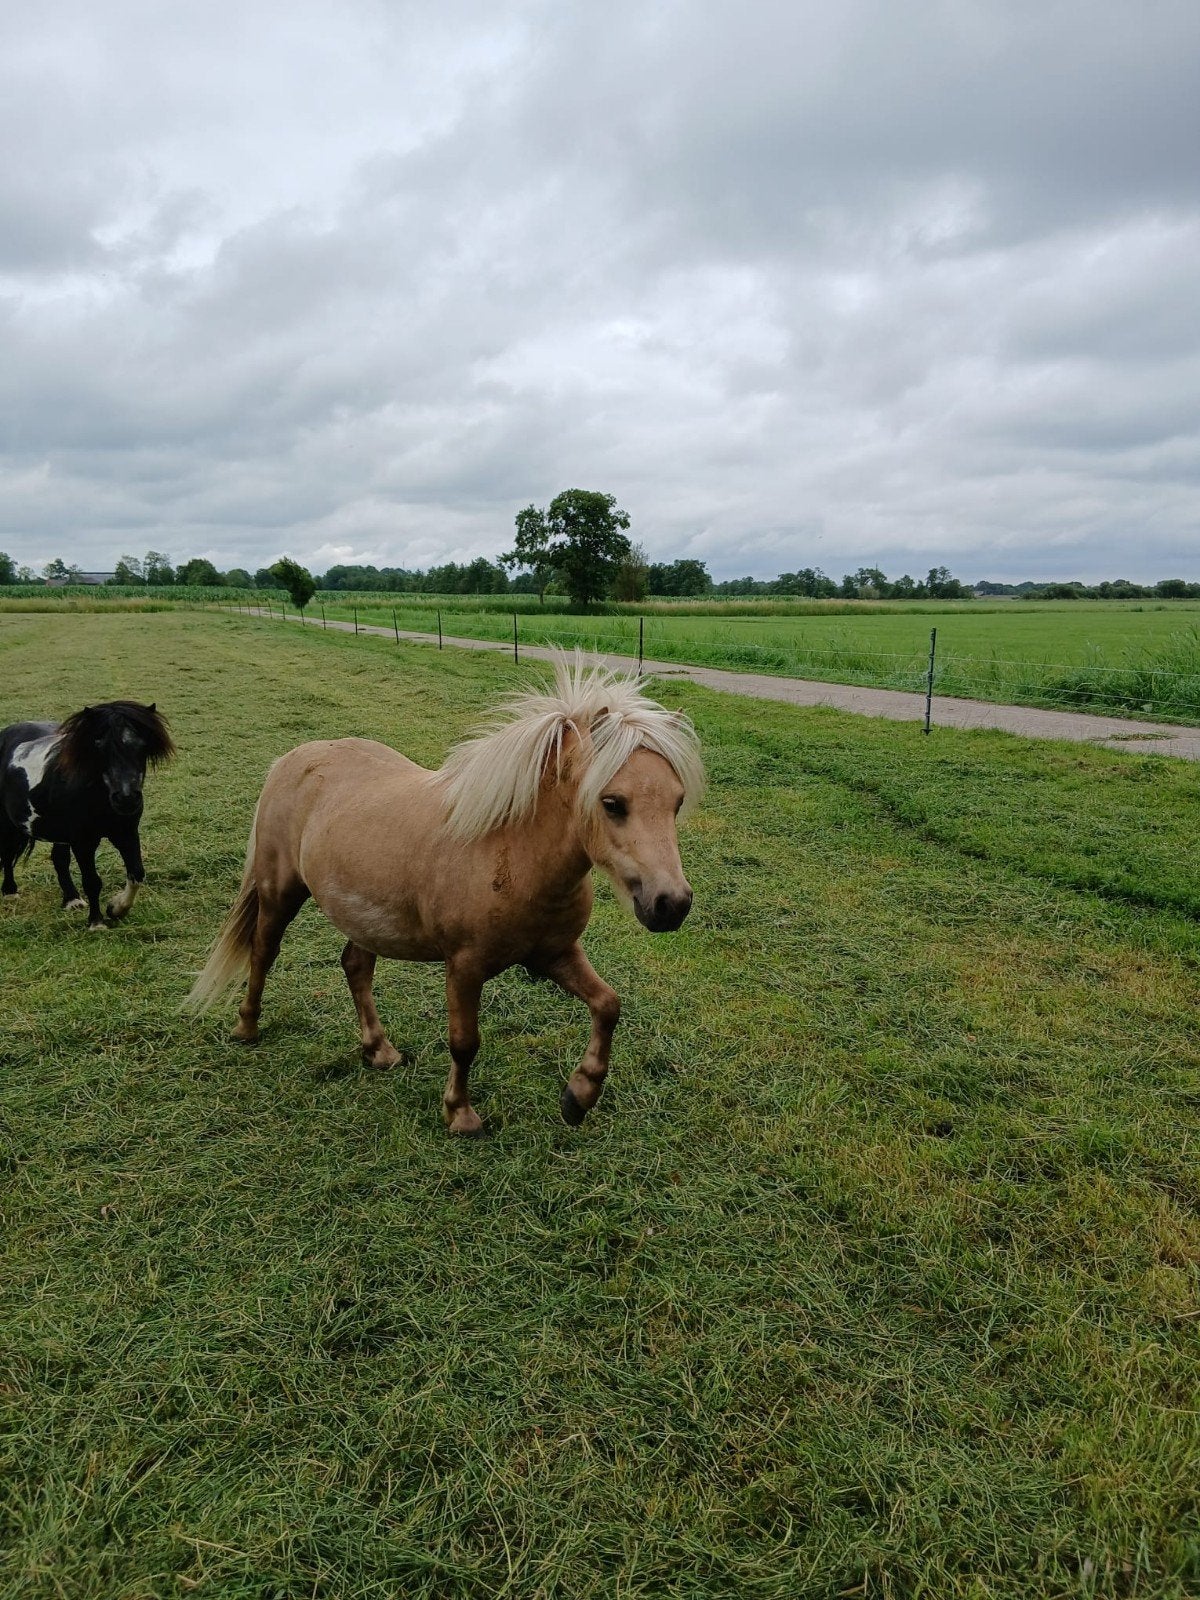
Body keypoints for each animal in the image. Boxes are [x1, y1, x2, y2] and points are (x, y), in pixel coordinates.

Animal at [0, 701, 175, 930]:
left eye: (142, 745)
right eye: (98, 745)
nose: (126, 798)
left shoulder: (126, 833)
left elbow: (136, 873)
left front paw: (116, 909)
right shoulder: (83, 841)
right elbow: (92, 881)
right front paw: (97, 922)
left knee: (59, 859)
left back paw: (71, 899)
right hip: (7, 823)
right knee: (7, 853)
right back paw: (10, 892)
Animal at [186, 656, 704, 1132]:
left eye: (677, 801)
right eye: (612, 803)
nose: (671, 904)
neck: (509, 850)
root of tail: (291, 759)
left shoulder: (553, 953)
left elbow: (608, 1005)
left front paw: (580, 1094)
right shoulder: (465, 966)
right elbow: (465, 1042)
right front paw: (461, 1113)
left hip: (365, 918)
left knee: (355, 967)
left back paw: (379, 1050)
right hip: (279, 893)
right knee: (263, 952)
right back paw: (247, 1027)